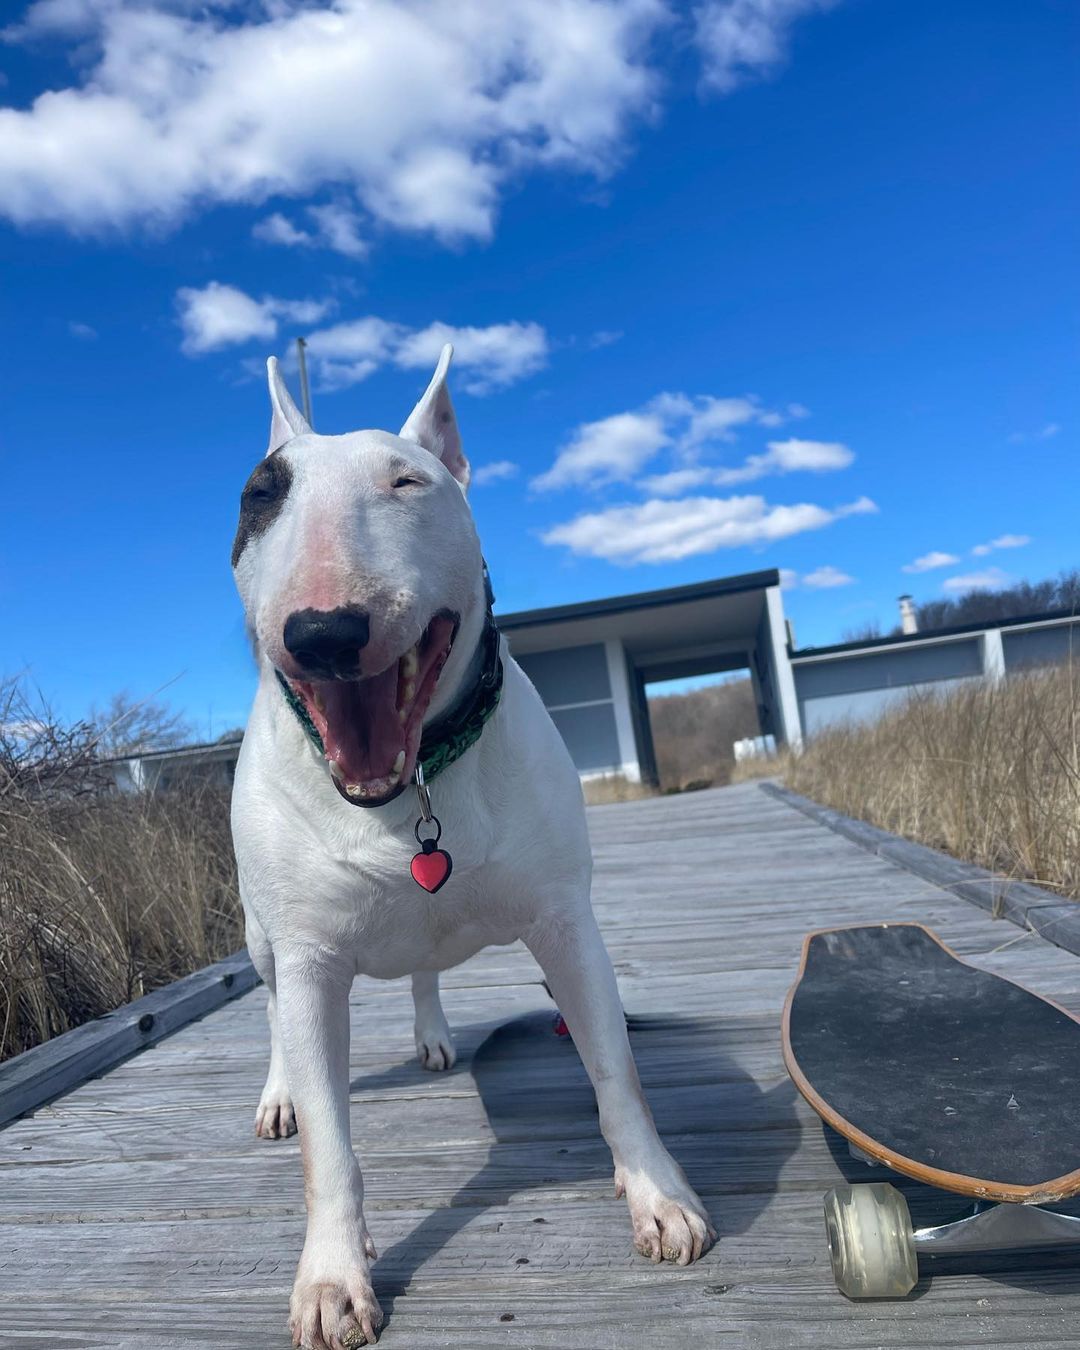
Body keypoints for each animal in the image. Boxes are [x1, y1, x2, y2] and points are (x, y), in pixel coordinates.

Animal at [232, 351, 712, 1350]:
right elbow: (330, 1146)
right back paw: (279, 1091)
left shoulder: (567, 924)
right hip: (259, 939)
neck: (410, 785)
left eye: (408, 483)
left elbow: (616, 1071)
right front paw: (333, 1279)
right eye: (261, 494)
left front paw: (657, 1195)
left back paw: (433, 1034)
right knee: (271, 1009)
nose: (324, 631)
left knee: (423, 968)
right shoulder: (308, 959)